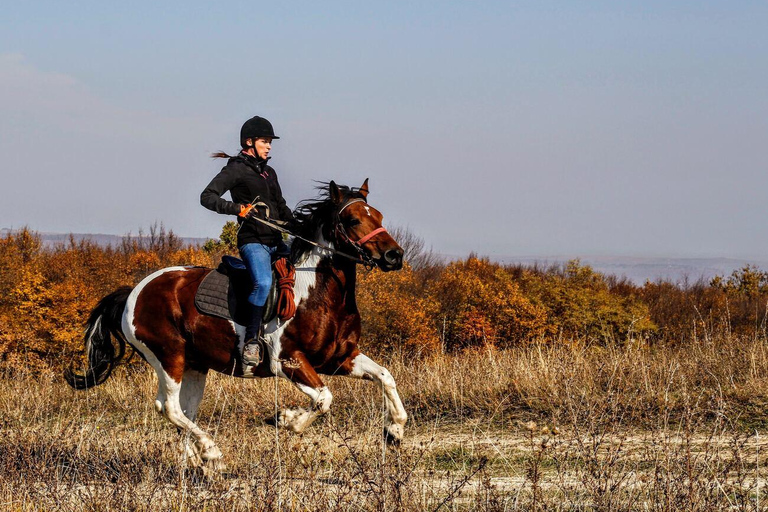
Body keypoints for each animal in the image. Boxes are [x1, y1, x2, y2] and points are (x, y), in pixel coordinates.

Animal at [66, 179, 408, 468]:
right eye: (352, 219)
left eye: (378, 215)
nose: (394, 255)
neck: (317, 291)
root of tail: (134, 292)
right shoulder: (289, 361)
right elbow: (324, 399)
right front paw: (286, 419)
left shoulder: (340, 358)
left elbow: (385, 377)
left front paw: (394, 431)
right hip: (168, 356)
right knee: (169, 407)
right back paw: (211, 452)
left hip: (195, 365)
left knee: (184, 412)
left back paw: (196, 462)